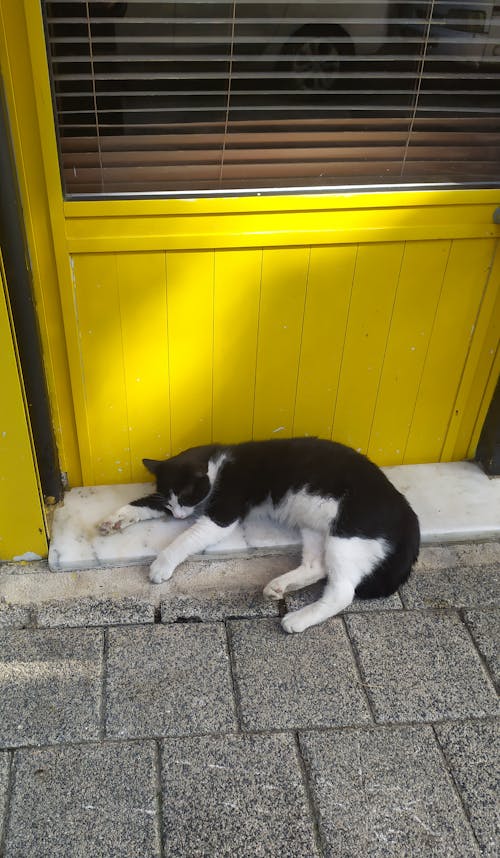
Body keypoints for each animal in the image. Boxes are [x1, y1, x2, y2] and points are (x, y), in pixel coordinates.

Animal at [97, 438, 418, 632]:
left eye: (186, 496)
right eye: (168, 498)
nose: (177, 516)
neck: (216, 466)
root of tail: (406, 511)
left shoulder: (222, 514)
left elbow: (185, 539)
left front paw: (162, 564)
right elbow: (142, 504)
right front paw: (114, 519)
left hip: (347, 532)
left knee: (342, 591)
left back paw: (297, 619)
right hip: (315, 526)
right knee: (317, 566)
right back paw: (280, 586)